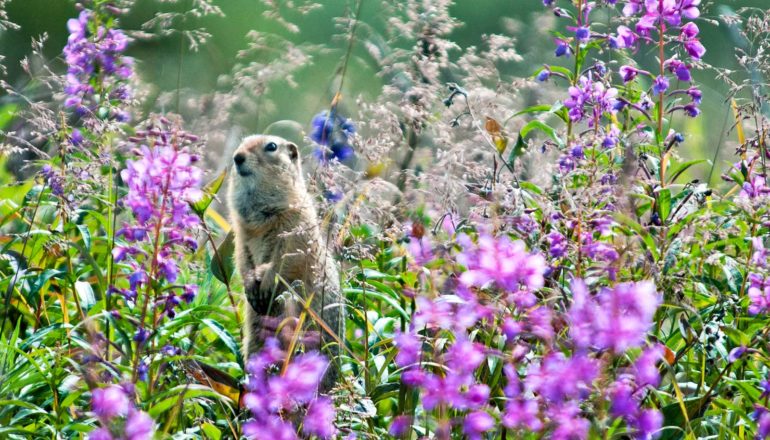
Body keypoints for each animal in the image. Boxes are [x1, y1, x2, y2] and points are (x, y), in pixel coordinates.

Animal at [226, 135, 344, 388]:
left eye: (271, 146)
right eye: (242, 142)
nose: (237, 157)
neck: (260, 219)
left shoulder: (294, 226)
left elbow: (286, 259)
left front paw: (266, 283)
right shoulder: (241, 233)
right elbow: (242, 257)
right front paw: (250, 283)